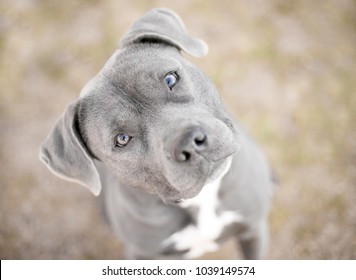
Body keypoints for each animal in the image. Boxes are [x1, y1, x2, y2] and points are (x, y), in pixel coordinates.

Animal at [39, 7, 272, 260]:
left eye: (170, 78)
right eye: (122, 139)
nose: (190, 143)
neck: (201, 200)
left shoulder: (253, 229)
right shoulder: (142, 254)